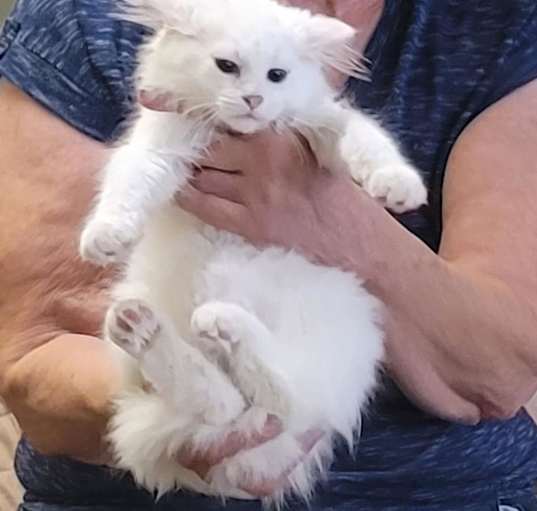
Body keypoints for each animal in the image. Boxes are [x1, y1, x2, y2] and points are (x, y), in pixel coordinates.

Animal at [77, 0, 426, 504]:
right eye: (227, 67)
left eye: (277, 75)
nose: (253, 100)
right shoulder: (158, 147)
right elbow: (128, 188)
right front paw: (106, 237)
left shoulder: (328, 126)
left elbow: (360, 143)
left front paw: (397, 187)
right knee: (225, 402)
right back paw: (148, 327)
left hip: (333, 345)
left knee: (277, 395)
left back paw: (214, 322)